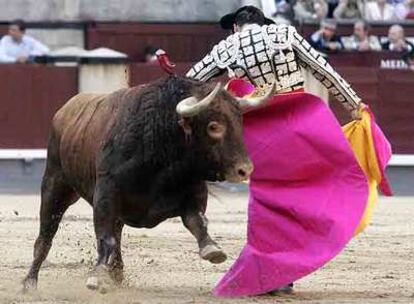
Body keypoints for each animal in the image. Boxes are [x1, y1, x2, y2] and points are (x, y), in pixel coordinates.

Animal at [22, 76, 258, 292]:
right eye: (214, 127)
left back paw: (116, 272)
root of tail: (66, 108)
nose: (245, 169)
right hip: (55, 183)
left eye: (240, 123)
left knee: (116, 232)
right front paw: (97, 276)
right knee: (46, 235)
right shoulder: (106, 195)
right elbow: (105, 237)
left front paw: (212, 249)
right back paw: (30, 282)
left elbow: (197, 221)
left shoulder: (194, 192)